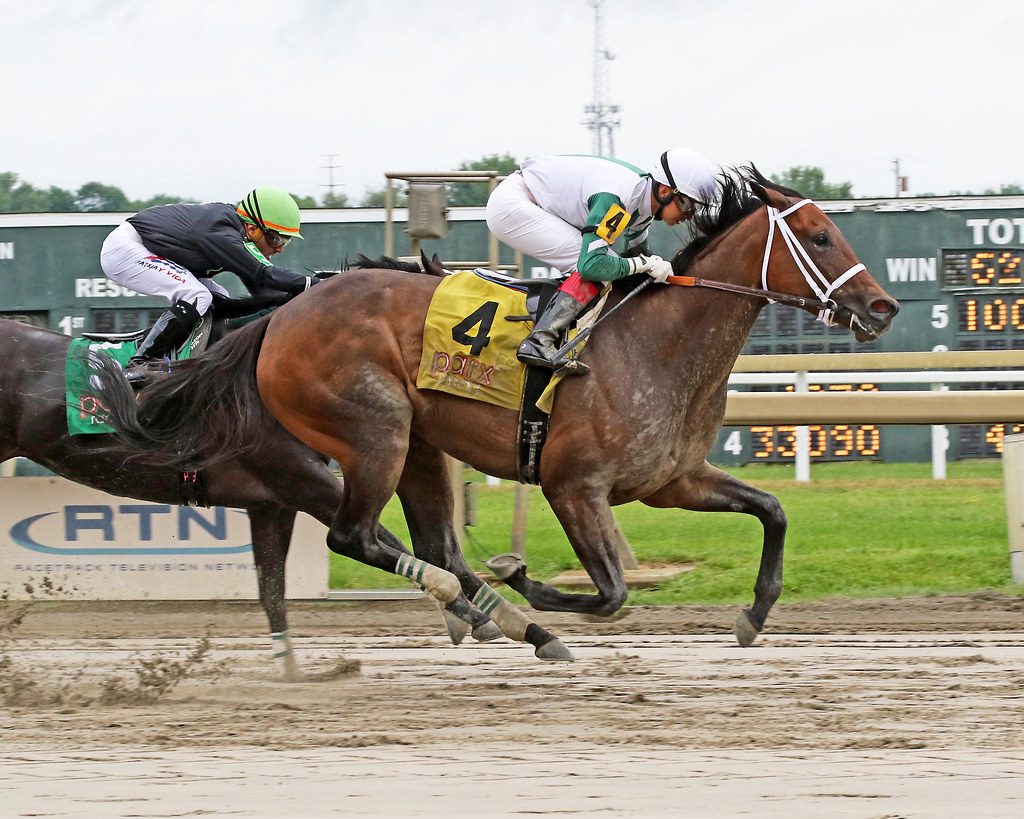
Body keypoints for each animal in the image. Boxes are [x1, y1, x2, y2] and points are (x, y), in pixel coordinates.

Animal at [92, 169, 901, 655]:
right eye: (821, 236)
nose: (882, 308)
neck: (657, 342)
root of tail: (281, 317)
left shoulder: (672, 479)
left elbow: (772, 511)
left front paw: (753, 615)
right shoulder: (574, 485)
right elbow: (610, 594)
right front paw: (522, 576)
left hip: (419, 443)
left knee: (433, 545)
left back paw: (498, 617)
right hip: (374, 431)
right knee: (358, 536)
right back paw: (498, 610)